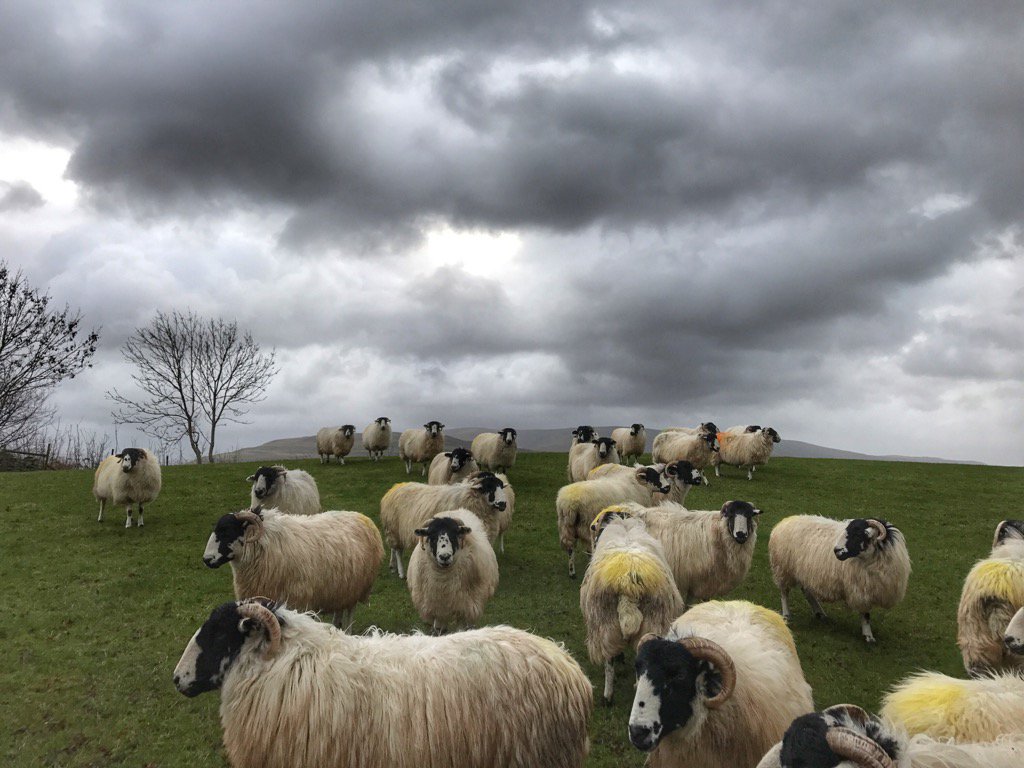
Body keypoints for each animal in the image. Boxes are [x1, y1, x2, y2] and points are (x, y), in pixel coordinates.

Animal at [202, 506, 384, 629]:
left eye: (227, 531)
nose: (206, 559)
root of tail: (363, 517)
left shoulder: (298, 600)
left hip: (357, 587)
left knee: (350, 613)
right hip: (340, 588)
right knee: (339, 610)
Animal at [379, 471, 508, 578]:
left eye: (501, 487)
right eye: (489, 487)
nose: (503, 504)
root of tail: (394, 488)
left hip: (392, 530)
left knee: (393, 548)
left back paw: (393, 566)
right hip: (394, 529)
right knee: (398, 551)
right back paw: (401, 572)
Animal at [768, 515, 911, 643]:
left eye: (857, 534)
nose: (836, 551)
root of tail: (784, 521)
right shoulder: (860, 589)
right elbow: (865, 614)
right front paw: (868, 636)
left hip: (805, 572)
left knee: (807, 591)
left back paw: (820, 613)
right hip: (783, 568)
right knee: (784, 592)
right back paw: (786, 614)